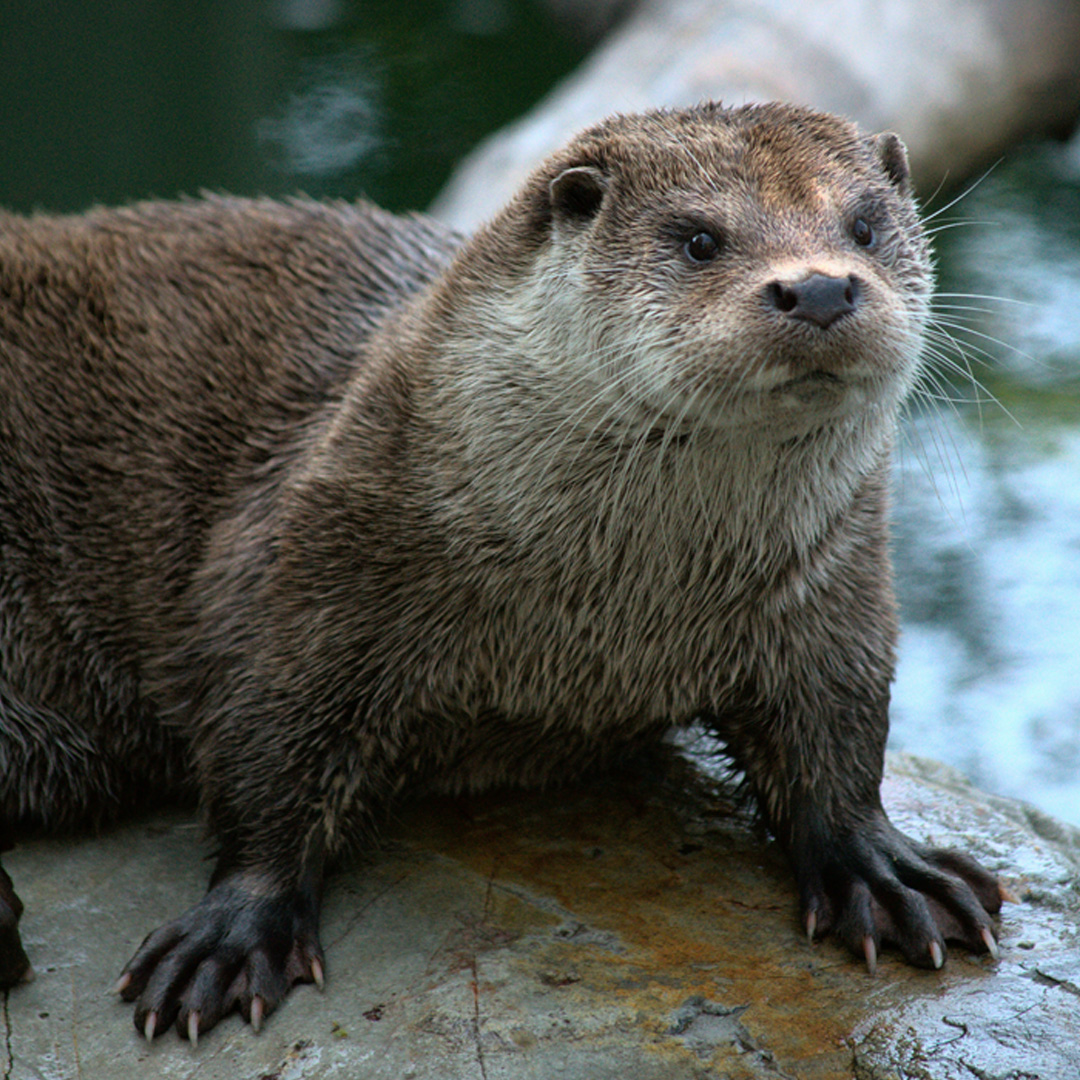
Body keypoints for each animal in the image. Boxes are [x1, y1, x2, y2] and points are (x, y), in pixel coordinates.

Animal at [0, 102, 1003, 1043]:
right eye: (699, 239)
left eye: (864, 226)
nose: (821, 286)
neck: (606, 615)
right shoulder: (308, 559)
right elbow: (264, 740)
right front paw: (238, 925)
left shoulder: (833, 583)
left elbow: (840, 726)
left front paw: (884, 868)